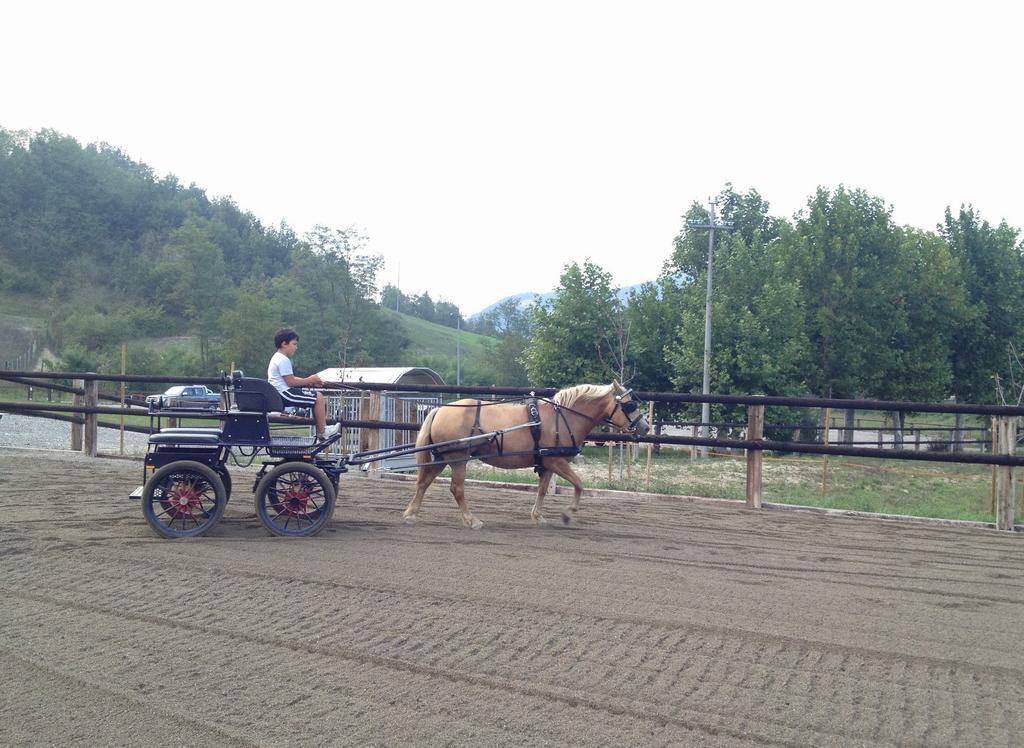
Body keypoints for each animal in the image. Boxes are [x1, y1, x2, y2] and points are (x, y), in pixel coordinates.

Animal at [399, 381, 647, 528]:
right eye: (629, 405)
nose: (644, 427)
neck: (564, 417)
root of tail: (440, 409)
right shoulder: (555, 460)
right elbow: (578, 484)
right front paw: (568, 513)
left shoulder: (546, 464)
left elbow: (543, 490)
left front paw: (537, 516)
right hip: (457, 458)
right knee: (456, 489)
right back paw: (472, 520)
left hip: (443, 457)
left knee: (424, 483)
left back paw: (411, 513)